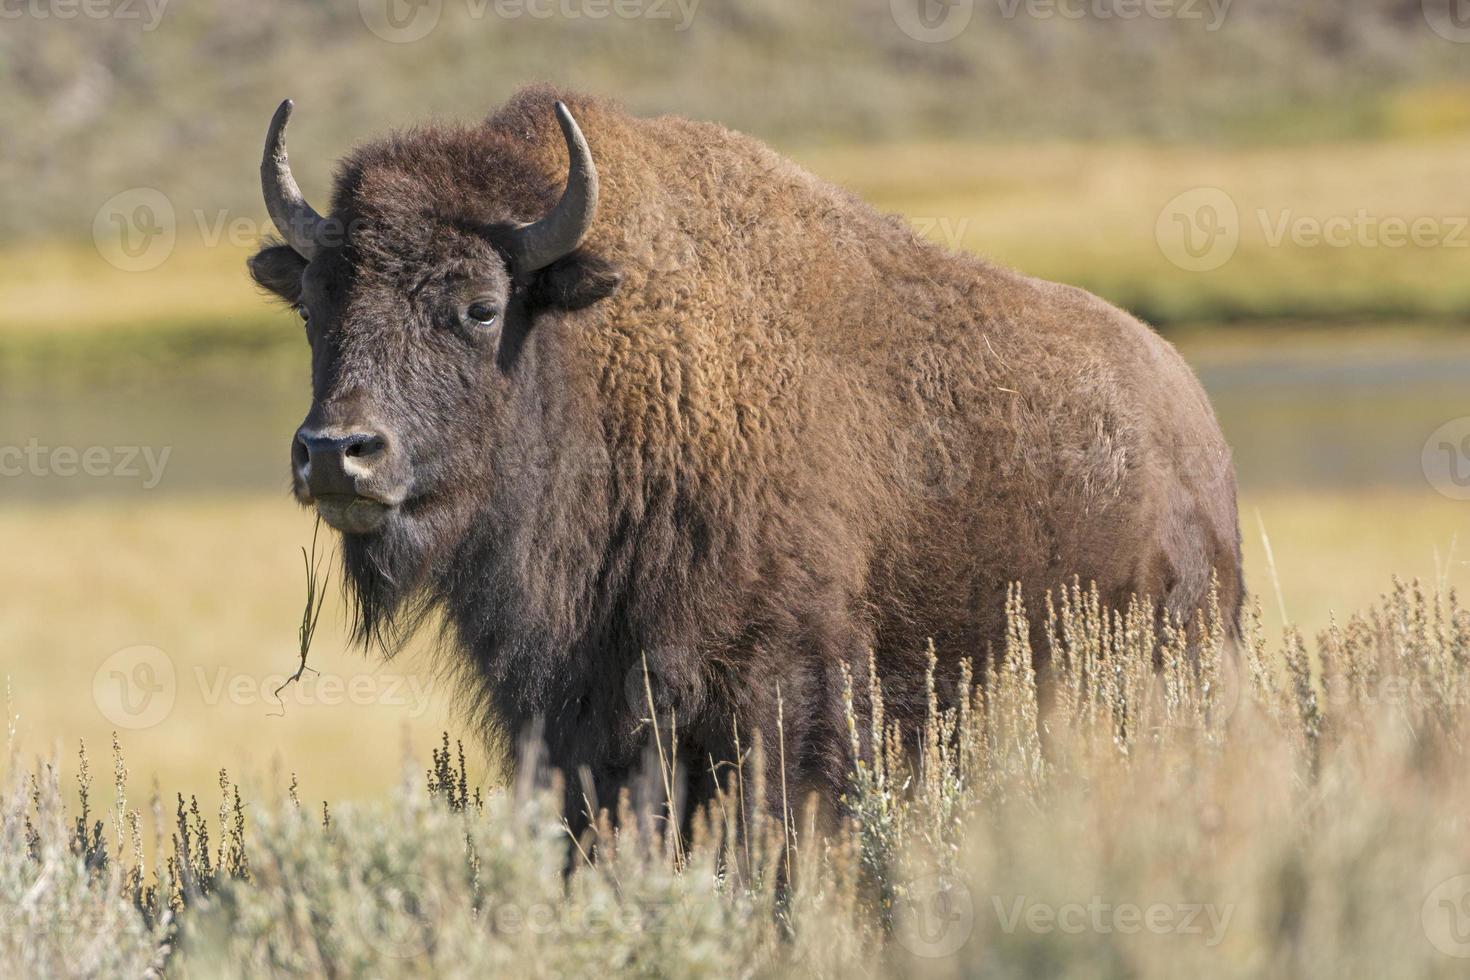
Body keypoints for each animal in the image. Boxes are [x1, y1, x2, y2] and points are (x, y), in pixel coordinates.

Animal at [252, 88, 1240, 834]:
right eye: (313, 304)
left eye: (481, 306)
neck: (606, 359)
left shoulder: (776, 698)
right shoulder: (577, 722)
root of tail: (1195, 426)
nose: (338, 452)